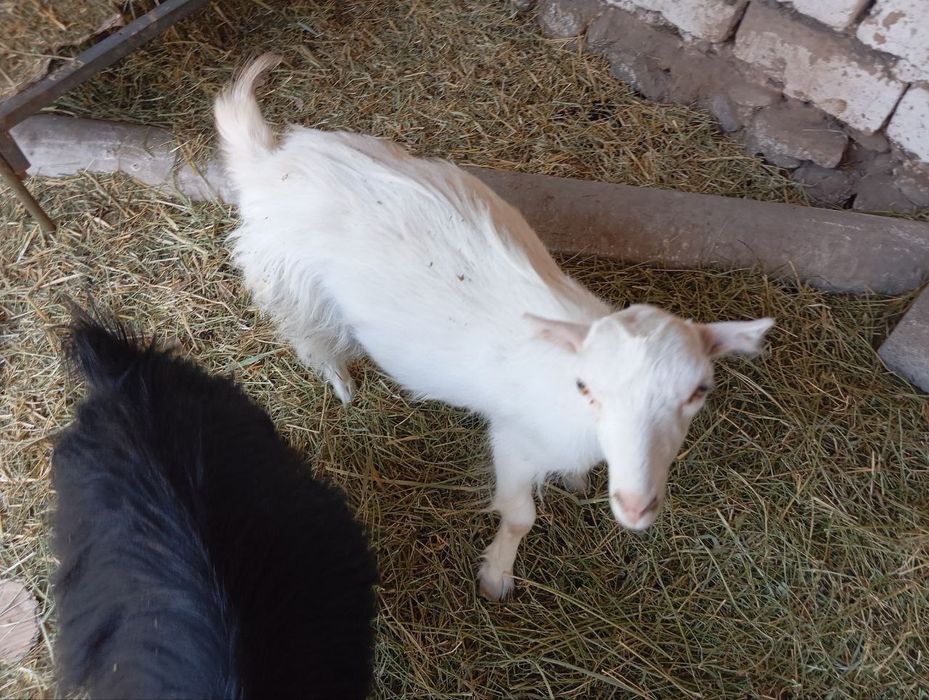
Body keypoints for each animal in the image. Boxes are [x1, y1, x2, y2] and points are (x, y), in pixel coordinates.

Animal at [214, 54, 774, 600]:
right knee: (312, 340)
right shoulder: (512, 441)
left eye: (698, 392)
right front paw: (496, 577)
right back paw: (343, 385)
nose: (637, 508)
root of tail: (267, 161)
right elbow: (521, 515)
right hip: (290, 283)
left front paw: (575, 481)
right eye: (586, 387)